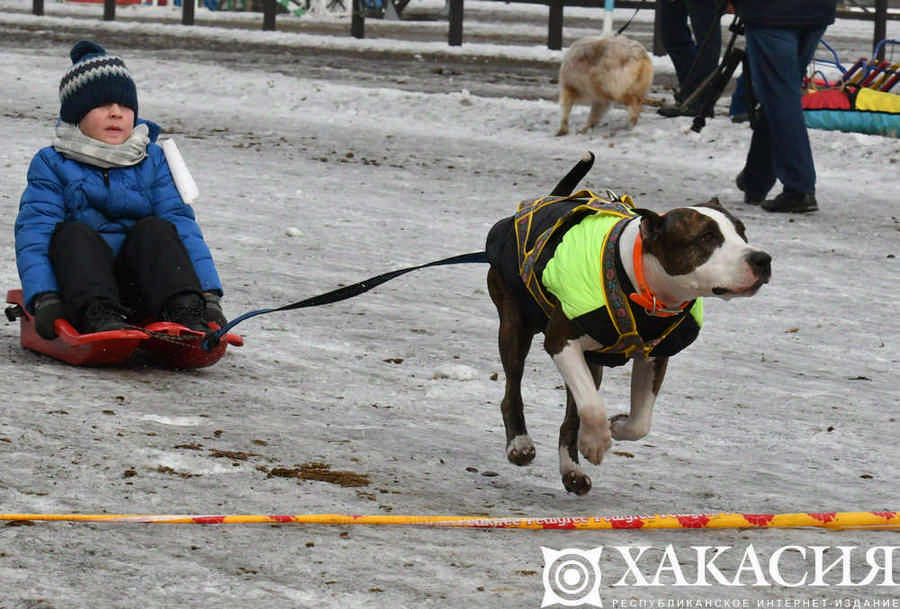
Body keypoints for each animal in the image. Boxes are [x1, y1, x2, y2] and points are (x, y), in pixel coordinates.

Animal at [482, 152, 768, 494]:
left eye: (743, 232)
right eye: (707, 237)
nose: (762, 259)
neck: (639, 283)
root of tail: (546, 199)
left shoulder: (655, 355)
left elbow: (640, 422)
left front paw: (615, 427)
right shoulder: (561, 341)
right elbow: (592, 406)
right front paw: (595, 442)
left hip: (592, 361)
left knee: (571, 415)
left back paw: (572, 469)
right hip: (515, 324)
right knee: (513, 388)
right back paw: (521, 443)